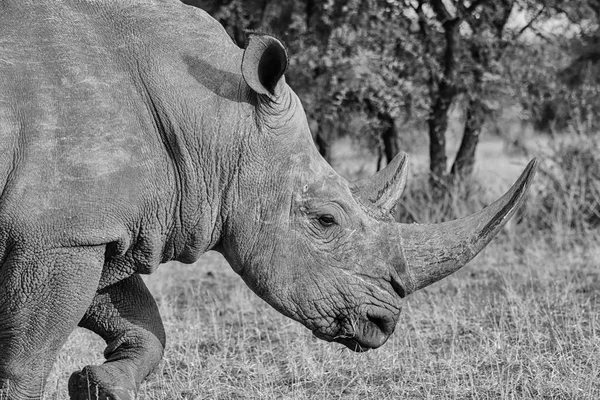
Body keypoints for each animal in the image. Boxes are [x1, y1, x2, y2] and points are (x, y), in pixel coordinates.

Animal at [0, 0, 536, 400]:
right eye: (325, 220)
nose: (384, 320)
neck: (215, 118)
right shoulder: (60, 235)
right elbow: (26, 361)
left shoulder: (87, 228)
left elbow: (144, 321)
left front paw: (100, 386)